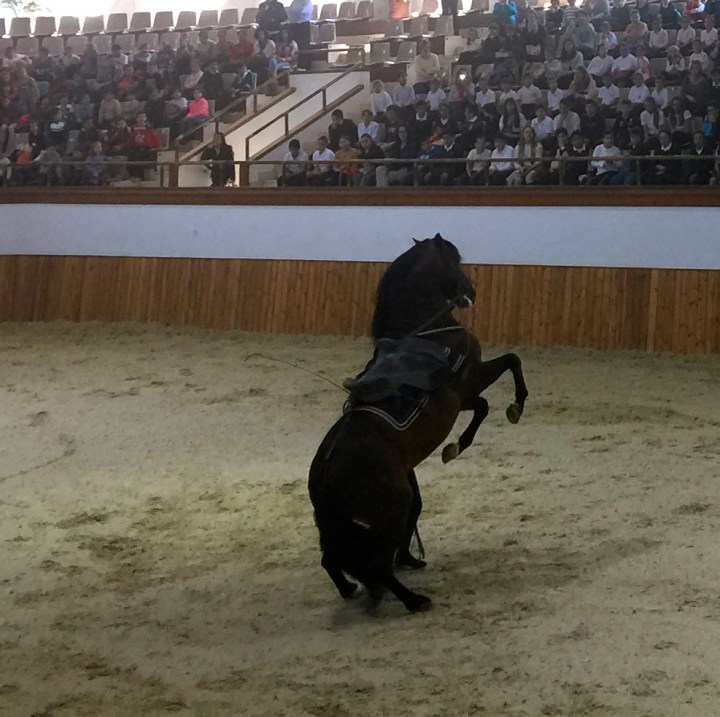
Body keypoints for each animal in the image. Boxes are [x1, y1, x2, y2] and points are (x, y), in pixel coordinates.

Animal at [308, 234, 529, 612]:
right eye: (455, 262)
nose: (472, 291)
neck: (427, 332)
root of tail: (324, 477)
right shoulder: (468, 382)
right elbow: (510, 365)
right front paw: (515, 407)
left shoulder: (461, 398)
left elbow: (483, 405)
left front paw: (454, 447)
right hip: (392, 506)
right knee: (377, 566)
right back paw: (414, 600)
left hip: (350, 524)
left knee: (334, 559)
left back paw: (357, 585)